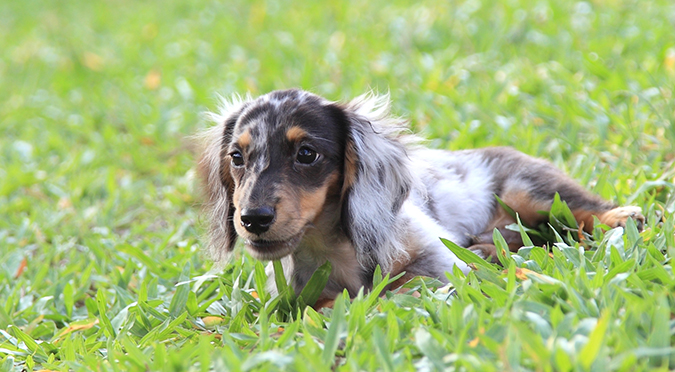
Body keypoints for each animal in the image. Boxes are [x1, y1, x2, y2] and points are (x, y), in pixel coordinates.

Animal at [195, 88, 644, 300]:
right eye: (237, 156)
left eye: (307, 154)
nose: (253, 219)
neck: (334, 249)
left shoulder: (438, 262)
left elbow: (405, 285)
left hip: (532, 190)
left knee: (585, 210)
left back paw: (622, 217)